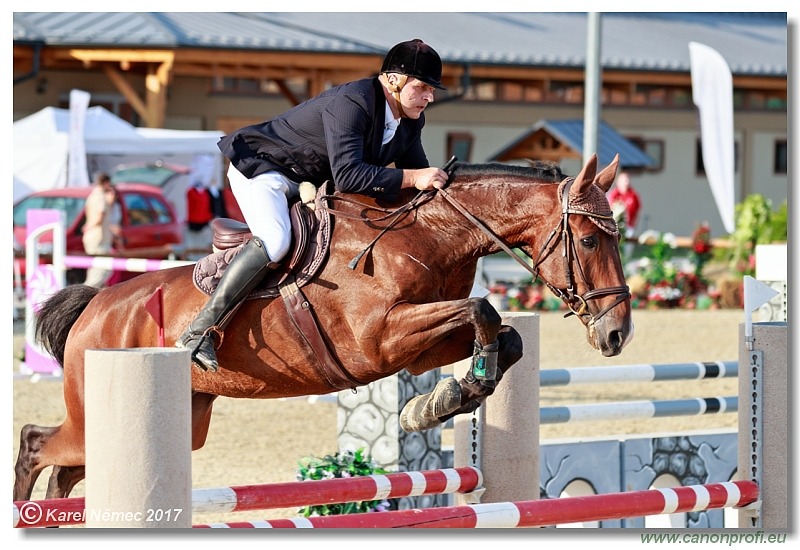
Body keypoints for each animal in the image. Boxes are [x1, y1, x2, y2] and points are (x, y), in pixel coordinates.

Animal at [14, 154, 632, 504]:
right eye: (588, 240)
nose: (617, 335)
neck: (431, 231)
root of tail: (97, 304)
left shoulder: (415, 350)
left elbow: (507, 334)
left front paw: (441, 400)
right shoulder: (380, 339)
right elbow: (483, 310)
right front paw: (447, 396)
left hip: (180, 421)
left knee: (65, 473)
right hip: (92, 415)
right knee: (35, 445)